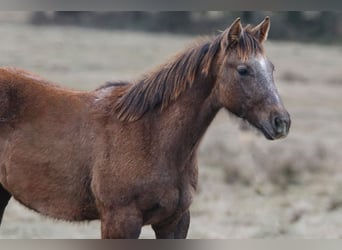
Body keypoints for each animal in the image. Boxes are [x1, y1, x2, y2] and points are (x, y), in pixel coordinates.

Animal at [0, 16, 290, 239]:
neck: (151, 136)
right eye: (243, 70)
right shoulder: (120, 221)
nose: (281, 122)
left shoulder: (174, 222)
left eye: (272, 68)